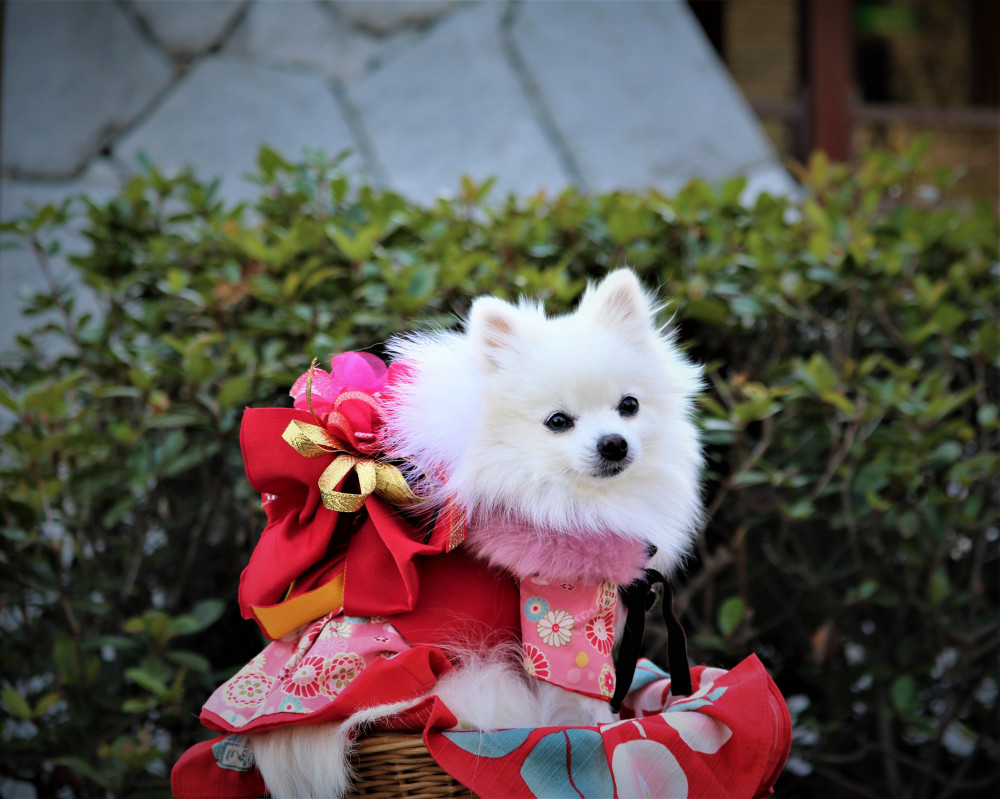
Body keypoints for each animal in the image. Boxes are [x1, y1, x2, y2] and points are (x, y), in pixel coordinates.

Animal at [250, 270, 704, 799]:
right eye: (557, 422)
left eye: (629, 405)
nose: (613, 443)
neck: (574, 499)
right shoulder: (559, 626)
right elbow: (585, 700)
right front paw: (606, 729)